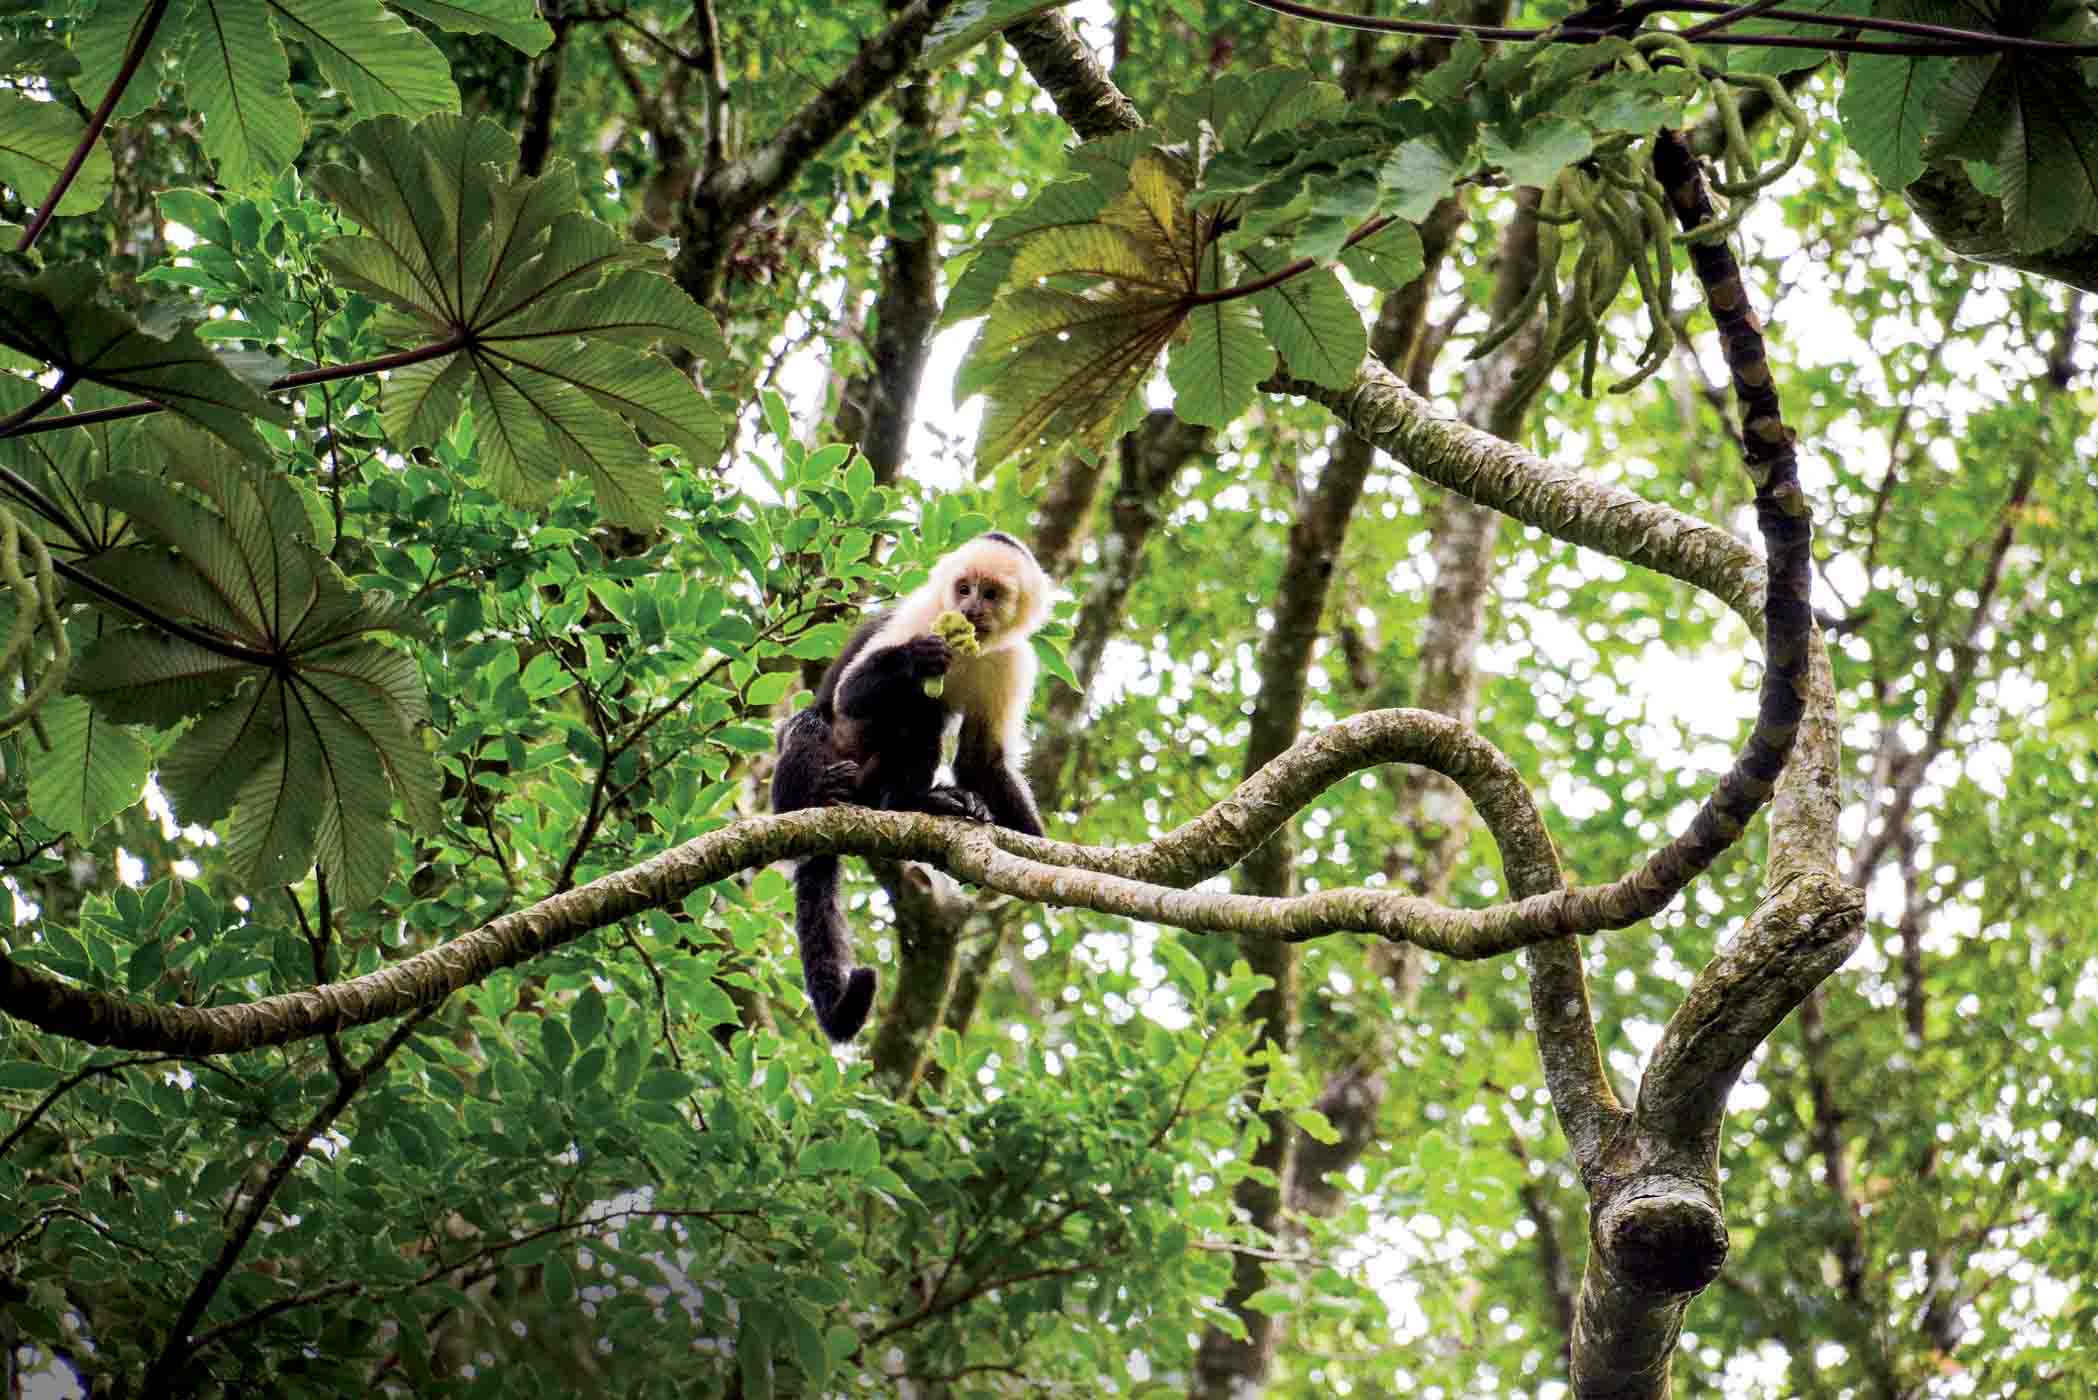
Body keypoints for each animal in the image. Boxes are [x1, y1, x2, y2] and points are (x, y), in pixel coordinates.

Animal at [776, 533, 1049, 1041]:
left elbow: (982, 760)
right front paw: (915, 660)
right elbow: (852, 693)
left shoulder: (1013, 661)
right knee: (845, 716)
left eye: (990, 594)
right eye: (963, 588)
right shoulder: (922, 615)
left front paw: (1037, 844)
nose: (969, 608)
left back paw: (927, 801)